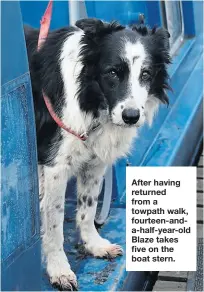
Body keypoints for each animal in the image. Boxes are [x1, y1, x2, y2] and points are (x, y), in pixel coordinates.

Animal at [24, 18, 171, 290]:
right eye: (112, 72)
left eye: (146, 74)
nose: (131, 117)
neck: (92, 98)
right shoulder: (55, 167)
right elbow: (54, 223)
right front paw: (59, 270)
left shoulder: (95, 162)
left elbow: (88, 207)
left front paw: (94, 245)